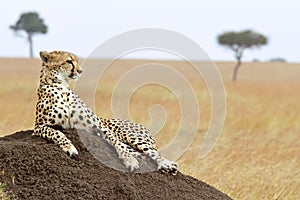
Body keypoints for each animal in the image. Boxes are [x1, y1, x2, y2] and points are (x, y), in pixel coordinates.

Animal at [32, 50, 178, 174]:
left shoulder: (98, 126)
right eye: (69, 61)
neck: (61, 87)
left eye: (77, 61)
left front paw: (128, 160)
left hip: (129, 135)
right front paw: (70, 148)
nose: (80, 71)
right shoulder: (38, 127)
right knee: (143, 154)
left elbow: (115, 142)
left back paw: (167, 164)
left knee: (152, 152)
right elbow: (57, 133)